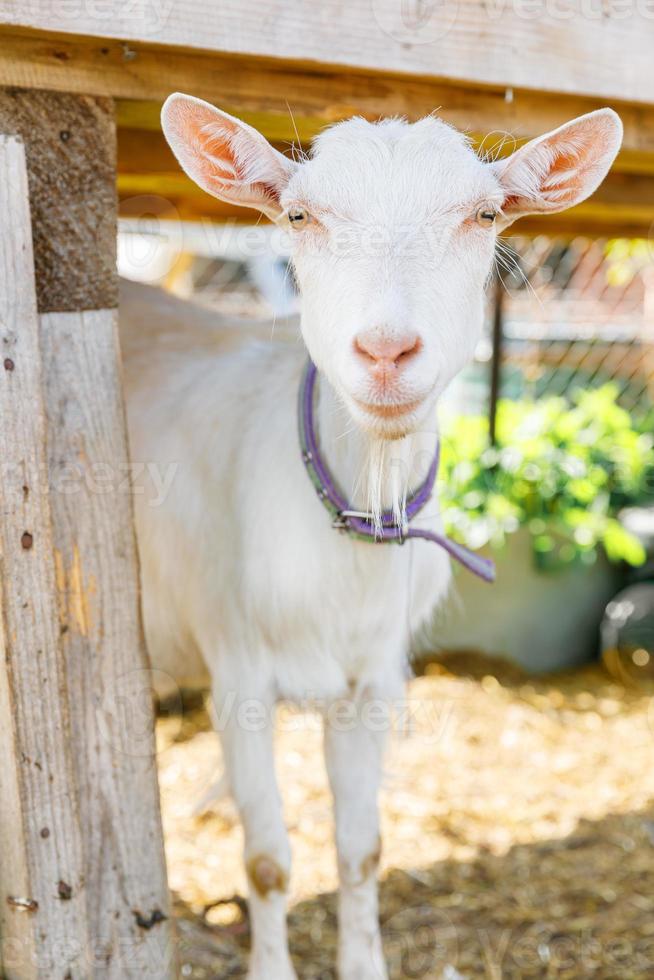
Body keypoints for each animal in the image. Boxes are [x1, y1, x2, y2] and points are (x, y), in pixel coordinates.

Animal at [119, 97, 624, 980]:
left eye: (484, 214)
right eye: (298, 215)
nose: (386, 351)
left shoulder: (374, 681)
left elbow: (362, 850)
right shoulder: (237, 672)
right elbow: (267, 860)